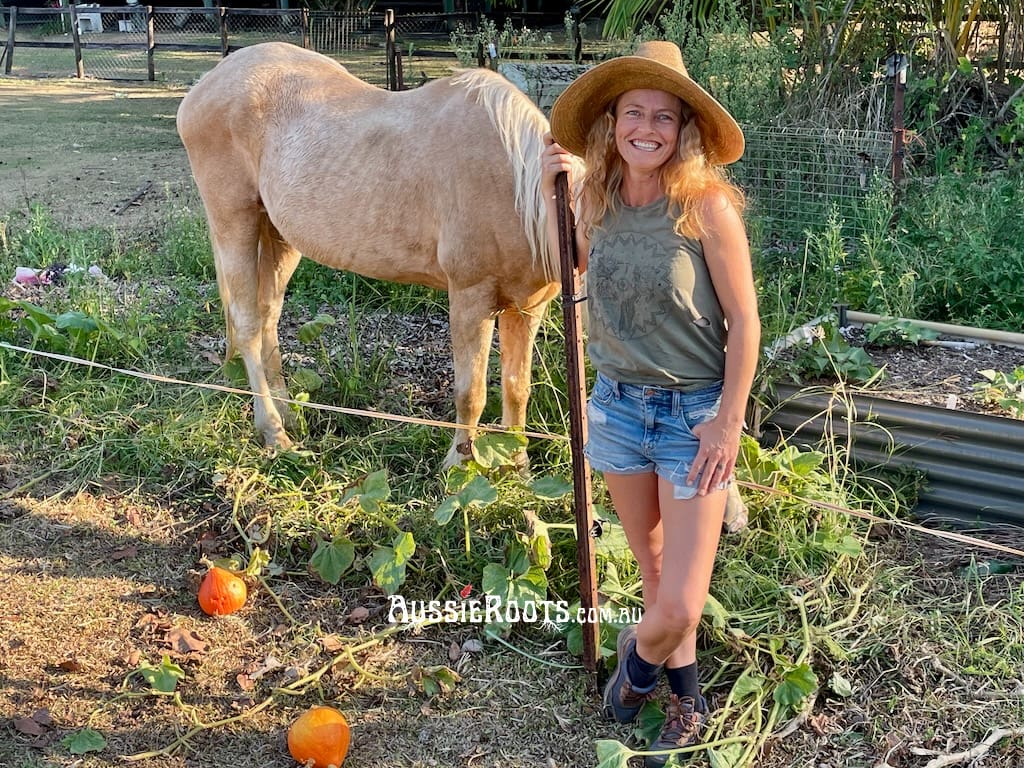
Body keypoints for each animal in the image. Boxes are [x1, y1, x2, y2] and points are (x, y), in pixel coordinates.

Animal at [174, 43, 561, 468]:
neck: (517, 187)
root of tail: (205, 84)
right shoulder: (470, 300)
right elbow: (470, 393)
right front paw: (458, 464)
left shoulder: (527, 307)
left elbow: (517, 387)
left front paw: (518, 467)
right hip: (233, 219)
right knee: (246, 325)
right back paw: (274, 434)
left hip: (277, 234)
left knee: (267, 317)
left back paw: (289, 416)